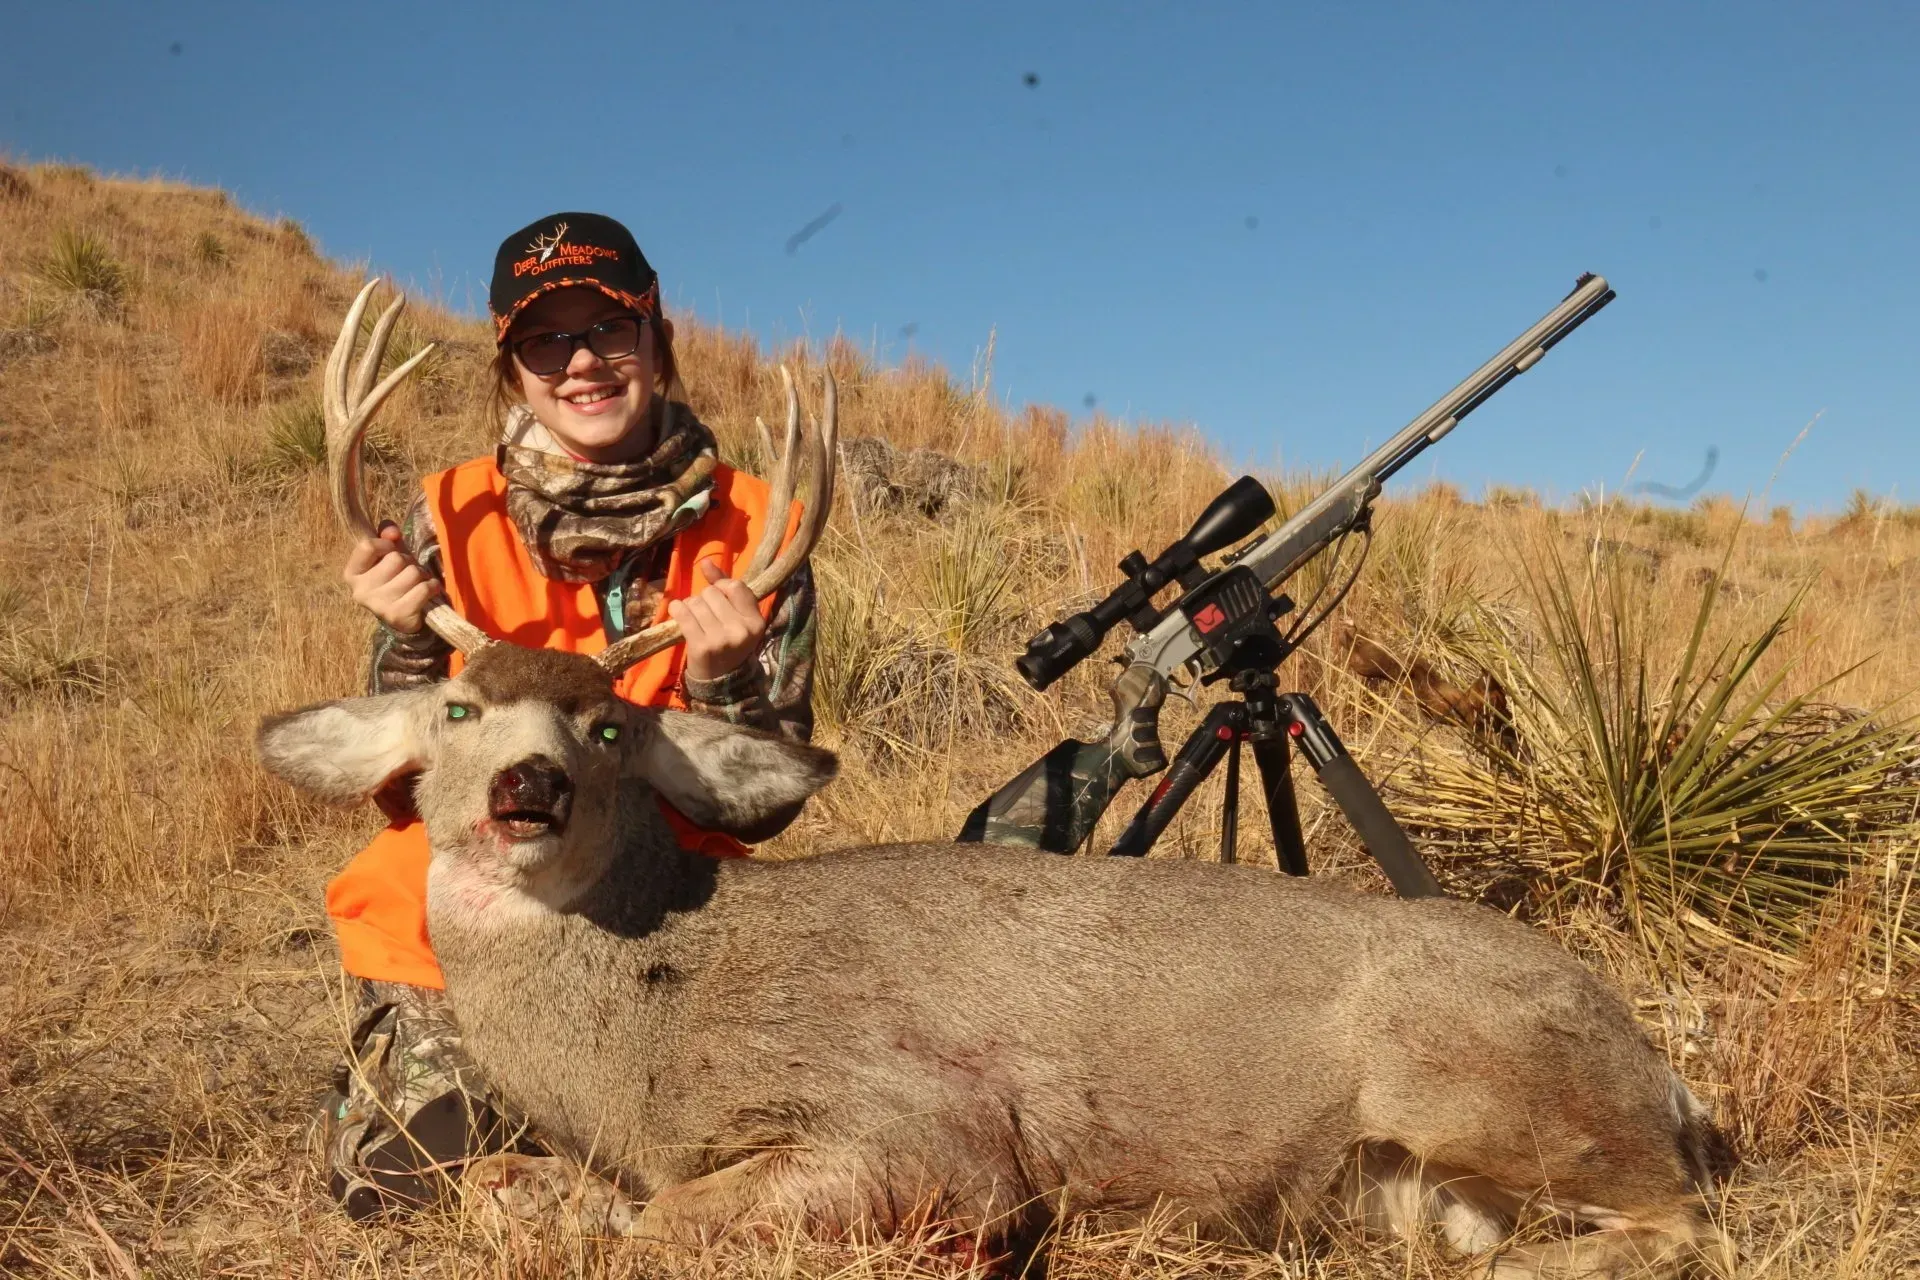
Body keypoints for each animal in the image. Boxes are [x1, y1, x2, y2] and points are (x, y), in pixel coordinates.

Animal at [257, 283, 1736, 1277]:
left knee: (1680, 1227)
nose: (528, 790)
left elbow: (658, 1223)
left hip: (1468, 1074)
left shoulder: (932, 1133)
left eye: (611, 728)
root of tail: (1660, 1069)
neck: (649, 1020)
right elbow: (504, 1185)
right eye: (455, 707)